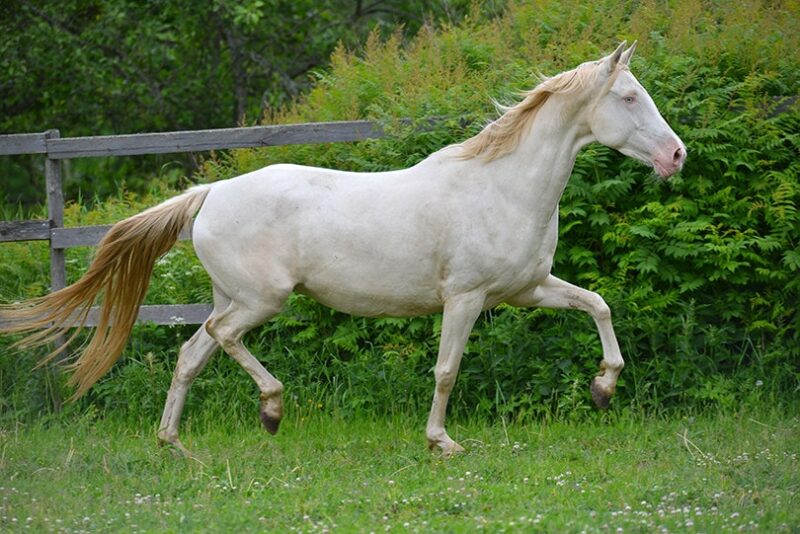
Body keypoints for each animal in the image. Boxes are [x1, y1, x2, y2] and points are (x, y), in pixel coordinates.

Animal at [1, 42, 686, 456]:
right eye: (628, 97)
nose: (676, 156)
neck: (503, 187)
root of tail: (209, 192)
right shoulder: (465, 298)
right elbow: (446, 369)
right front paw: (442, 442)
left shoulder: (528, 289)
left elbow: (598, 305)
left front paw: (603, 389)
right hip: (260, 299)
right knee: (221, 340)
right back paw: (271, 410)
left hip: (231, 296)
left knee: (191, 353)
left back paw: (175, 444)